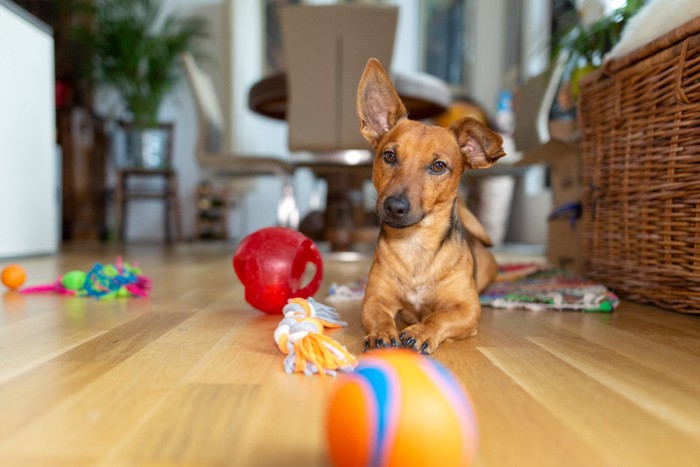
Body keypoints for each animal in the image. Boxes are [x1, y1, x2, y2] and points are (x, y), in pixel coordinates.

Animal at [358, 58, 506, 354]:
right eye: (389, 156)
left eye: (439, 166)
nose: (394, 207)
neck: (415, 245)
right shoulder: (373, 300)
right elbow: (379, 316)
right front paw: (382, 333)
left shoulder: (467, 308)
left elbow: (440, 316)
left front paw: (422, 331)